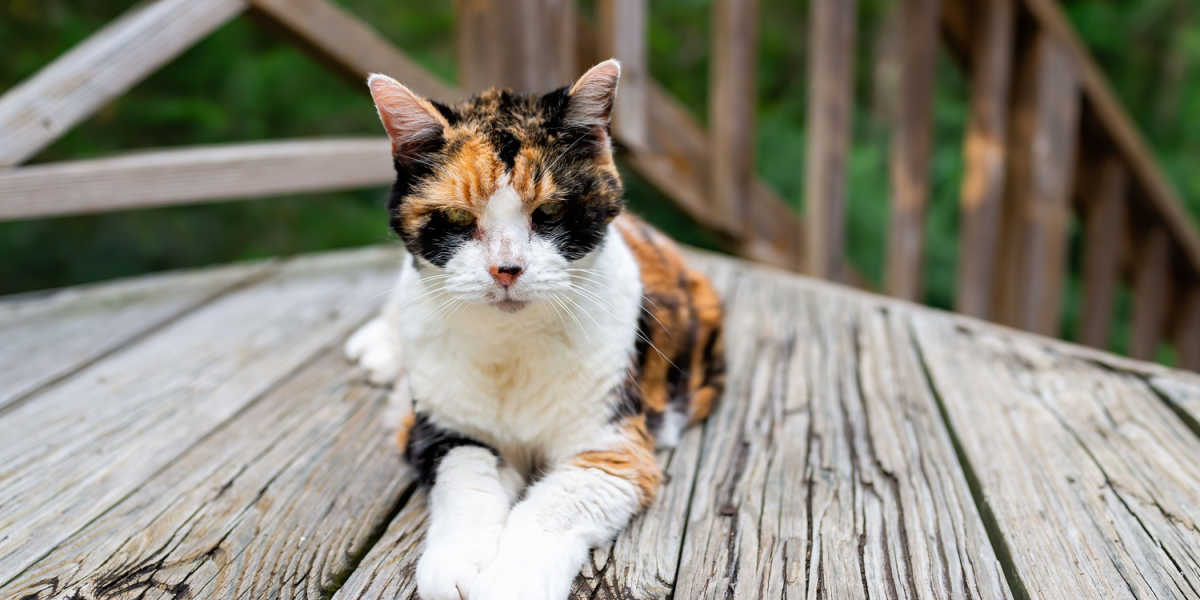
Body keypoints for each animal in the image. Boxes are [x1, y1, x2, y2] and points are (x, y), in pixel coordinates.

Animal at [343, 57, 724, 600]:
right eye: (457, 215)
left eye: (549, 212)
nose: (507, 269)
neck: (512, 347)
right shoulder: (445, 431)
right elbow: (466, 483)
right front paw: (455, 564)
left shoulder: (613, 450)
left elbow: (555, 507)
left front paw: (510, 582)